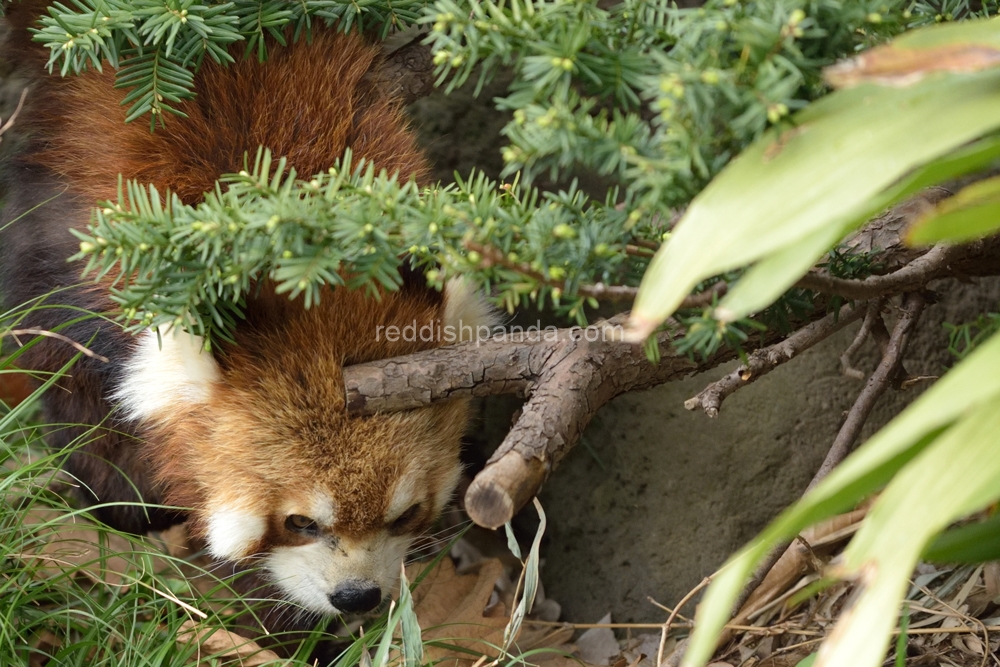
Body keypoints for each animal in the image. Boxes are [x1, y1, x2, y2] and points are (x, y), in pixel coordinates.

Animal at [1, 0, 494, 636]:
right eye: (300, 521)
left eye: (405, 513)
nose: (357, 596)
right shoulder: (69, 252)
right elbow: (73, 387)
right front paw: (123, 505)